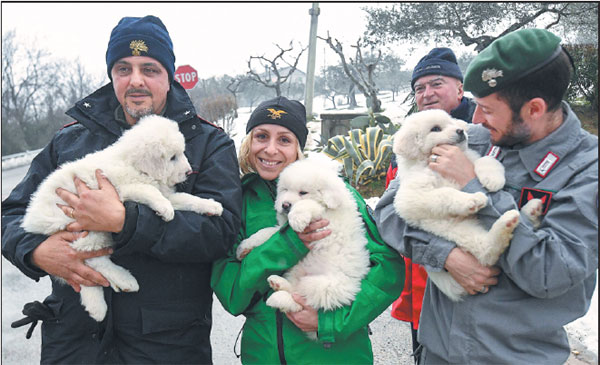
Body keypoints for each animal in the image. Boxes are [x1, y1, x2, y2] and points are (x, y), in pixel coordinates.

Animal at [236, 156, 370, 336]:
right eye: (285, 190)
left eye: (303, 192)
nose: (285, 205)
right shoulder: (281, 228)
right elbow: (267, 232)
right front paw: (244, 247)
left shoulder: (326, 217)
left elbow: (307, 205)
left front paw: (297, 218)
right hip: (296, 271)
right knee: (295, 293)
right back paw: (277, 284)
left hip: (324, 286)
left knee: (302, 301)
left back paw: (278, 297)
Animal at [392, 109, 540, 300]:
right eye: (435, 128)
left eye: (451, 122)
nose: (460, 130)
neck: (430, 160)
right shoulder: (409, 197)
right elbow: (445, 193)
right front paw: (471, 200)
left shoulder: (469, 158)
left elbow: (486, 161)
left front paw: (494, 180)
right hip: (457, 230)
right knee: (486, 251)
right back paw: (506, 222)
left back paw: (532, 211)